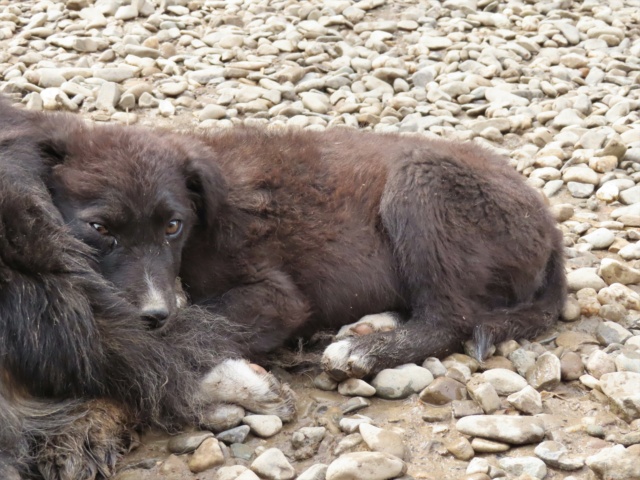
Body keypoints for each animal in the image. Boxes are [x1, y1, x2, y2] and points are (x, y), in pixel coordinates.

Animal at [0, 98, 564, 480]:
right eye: (100, 229)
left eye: (172, 226)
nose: (153, 313)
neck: (204, 224)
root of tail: (549, 225)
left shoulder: (276, 297)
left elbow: (189, 325)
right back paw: (366, 326)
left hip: (420, 186)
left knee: (452, 317)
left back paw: (365, 350)